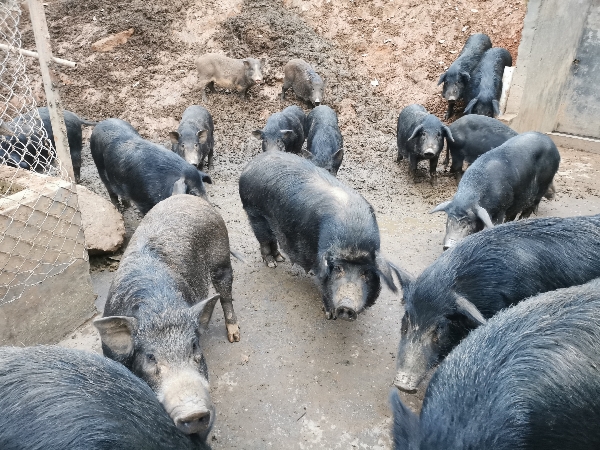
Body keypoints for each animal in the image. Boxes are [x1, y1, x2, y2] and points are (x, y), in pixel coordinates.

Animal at [238, 152, 398, 324]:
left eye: (366, 273)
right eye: (338, 268)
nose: (346, 306)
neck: (352, 244)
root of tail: (252, 164)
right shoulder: (318, 261)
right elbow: (323, 286)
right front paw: (330, 316)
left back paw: (280, 259)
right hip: (254, 213)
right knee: (265, 240)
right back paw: (272, 264)